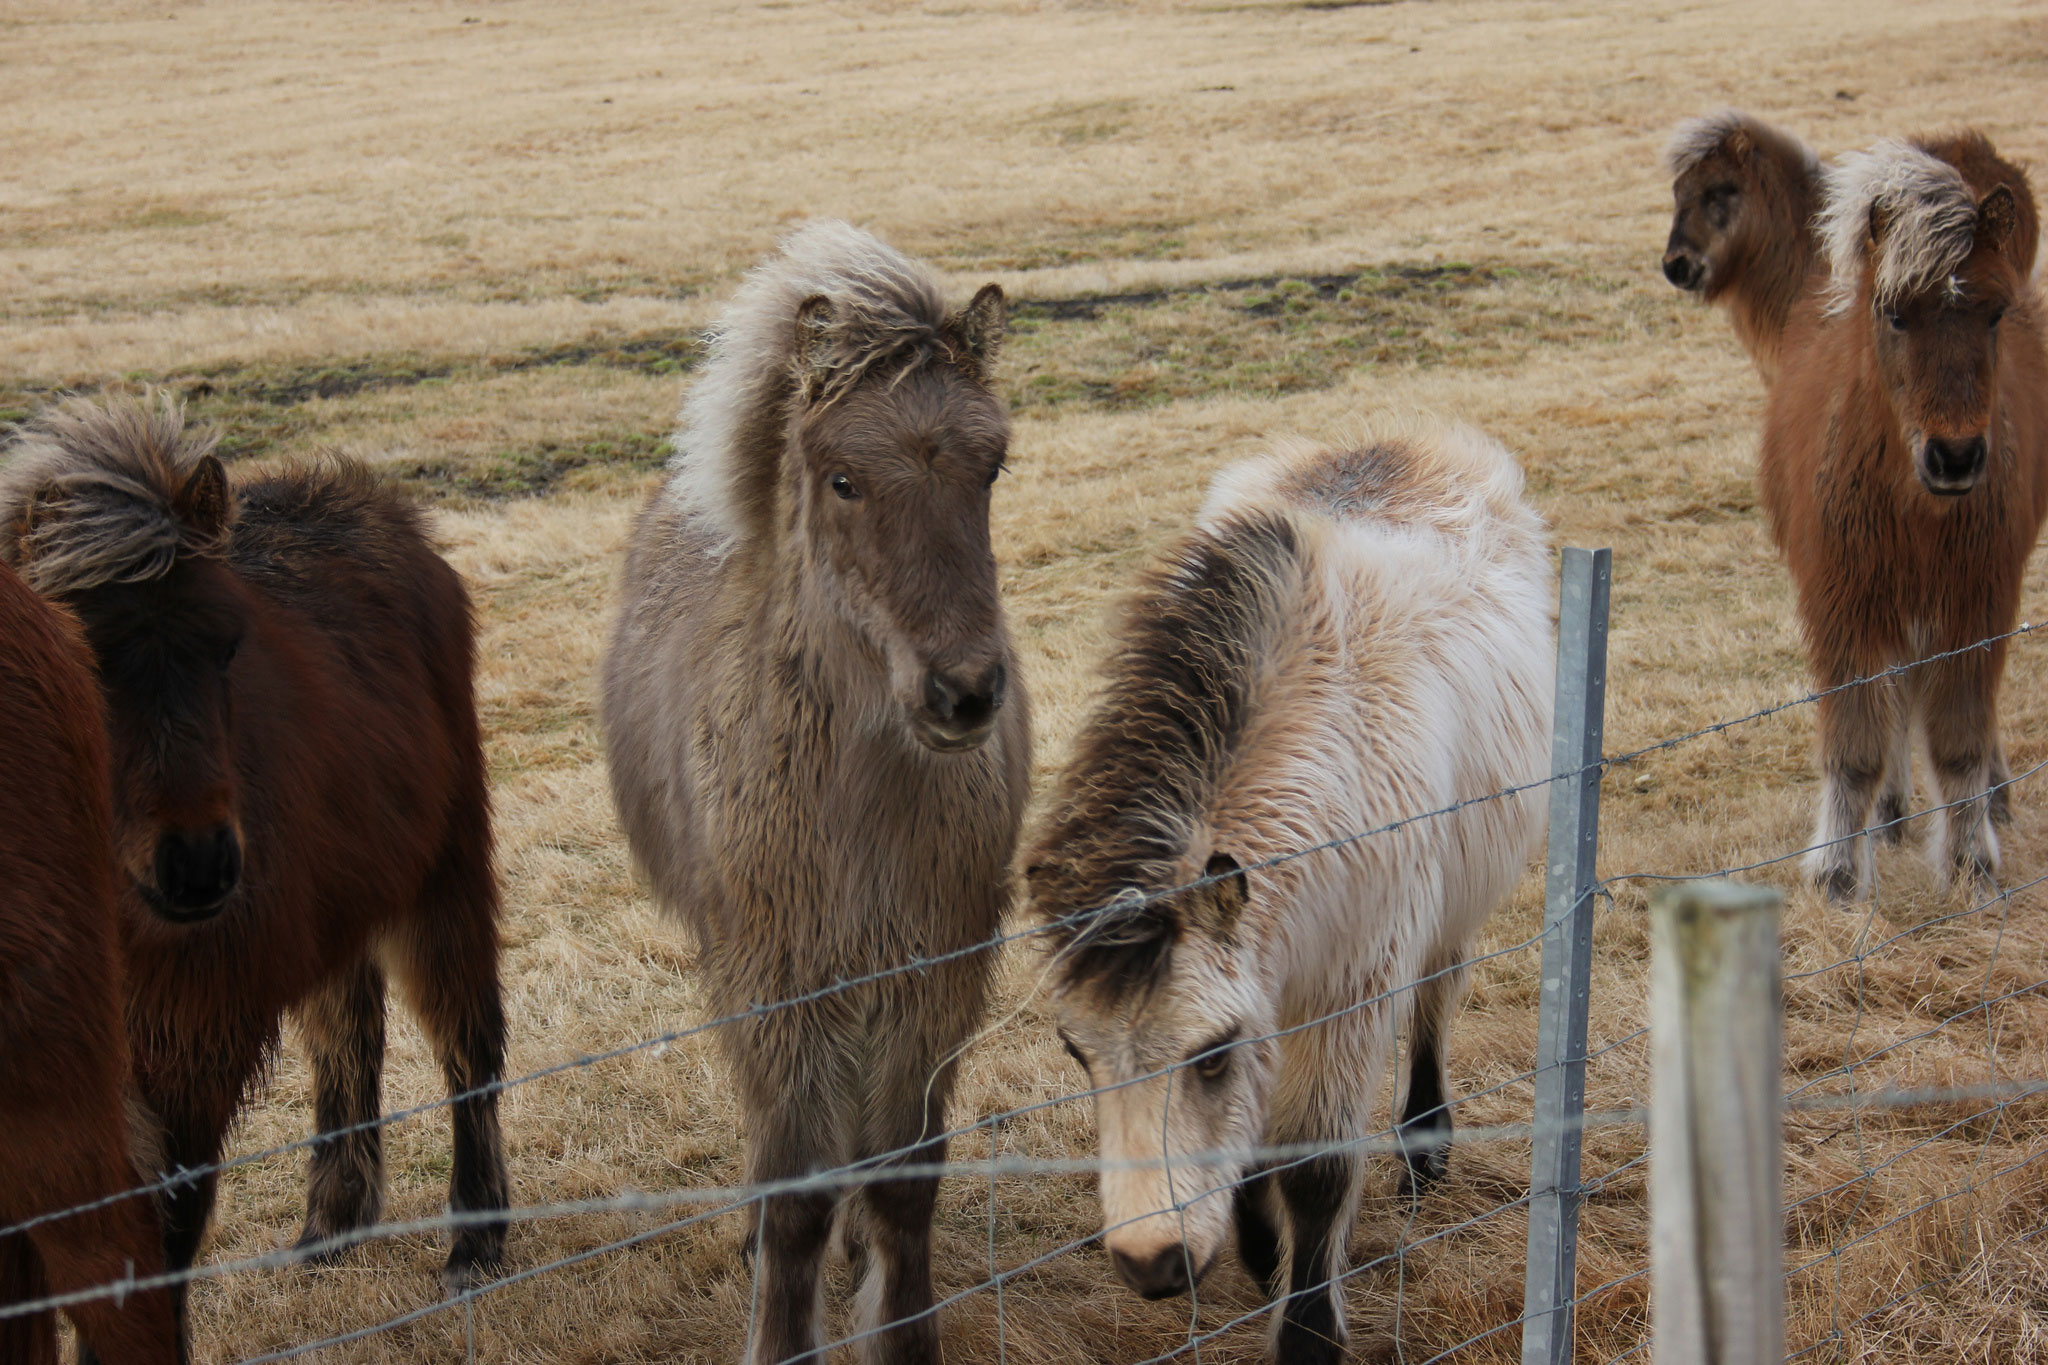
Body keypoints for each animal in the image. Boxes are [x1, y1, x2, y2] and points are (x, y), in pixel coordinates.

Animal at [1024, 423, 1548, 1365]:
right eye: (1076, 1053)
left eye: (1210, 1054)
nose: (1150, 1262)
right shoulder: (1267, 985)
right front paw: (1262, 1253)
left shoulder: (1349, 987)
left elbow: (1316, 1169)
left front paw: (1307, 1331)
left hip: (1452, 908)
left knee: (1437, 997)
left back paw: (1426, 1149)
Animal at [1761, 136, 2048, 908]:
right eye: (1893, 314)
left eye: (1994, 314)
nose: (1955, 456)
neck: (1914, 507)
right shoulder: (1845, 604)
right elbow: (1858, 745)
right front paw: (1837, 874)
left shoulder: (1977, 603)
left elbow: (1959, 740)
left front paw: (1972, 862)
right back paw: (1887, 815)